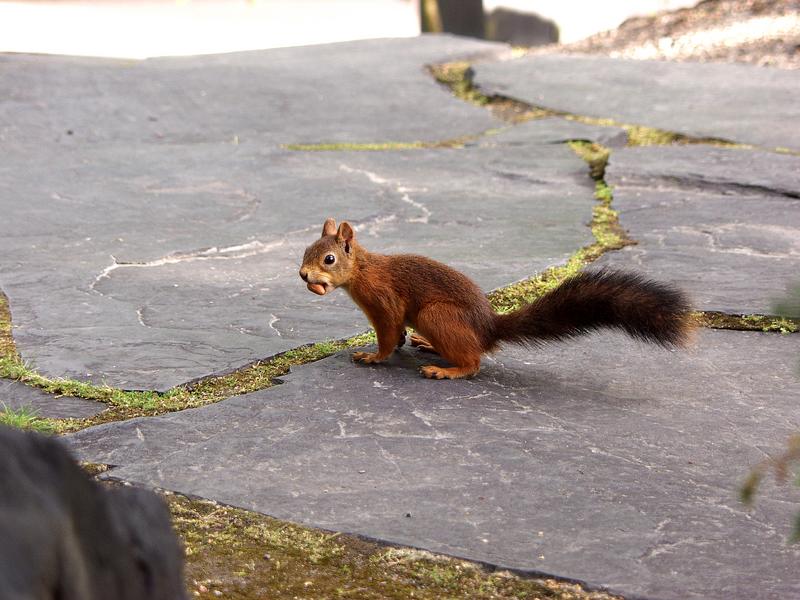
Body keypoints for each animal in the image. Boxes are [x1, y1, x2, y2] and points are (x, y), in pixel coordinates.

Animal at [300, 219, 692, 380]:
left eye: (329, 259)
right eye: (305, 251)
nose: (303, 276)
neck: (362, 271)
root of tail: (488, 328)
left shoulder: (384, 303)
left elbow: (387, 334)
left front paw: (372, 357)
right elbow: (395, 336)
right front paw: (395, 346)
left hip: (437, 314)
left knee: (474, 362)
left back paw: (447, 370)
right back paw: (430, 346)